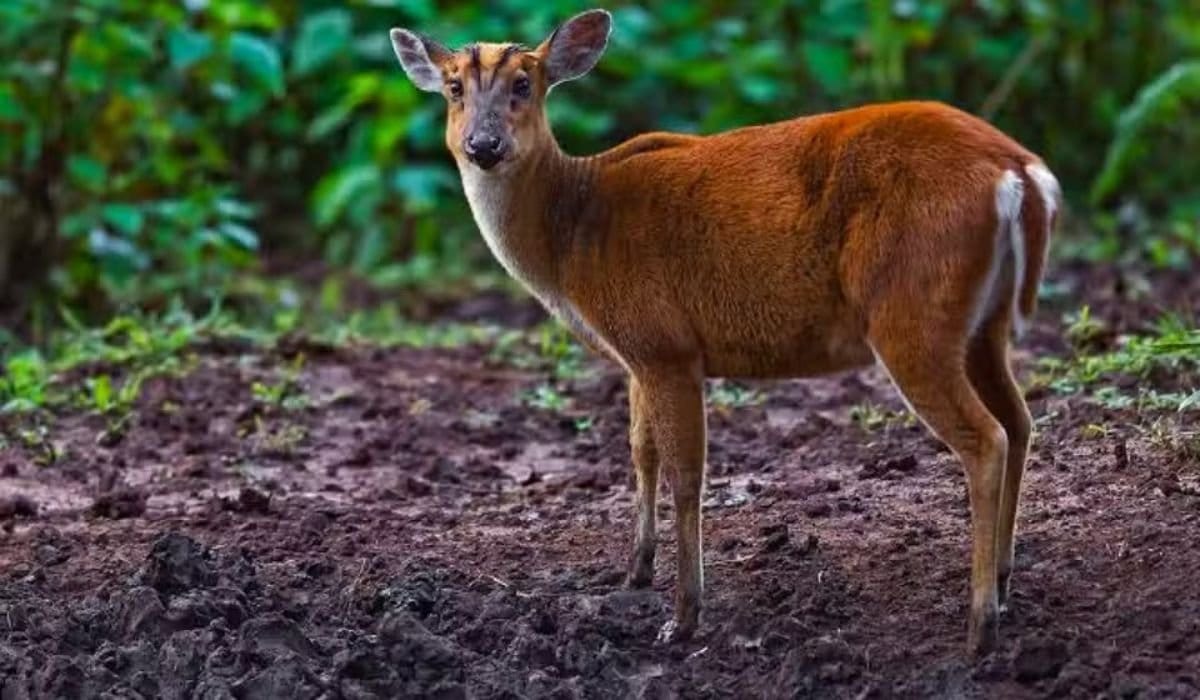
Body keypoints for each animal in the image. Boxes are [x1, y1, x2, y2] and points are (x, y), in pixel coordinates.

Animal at [388, 9, 1060, 656]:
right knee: (1020, 420)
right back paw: (1003, 583)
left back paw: (979, 627)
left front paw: (683, 618)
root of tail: (1021, 172)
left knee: (985, 438)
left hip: (910, 311)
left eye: (524, 83)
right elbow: (640, 451)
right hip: (981, 321)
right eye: (453, 87)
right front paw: (634, 572)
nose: (483, 144)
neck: (572, 235)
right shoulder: (639, 353)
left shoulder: (664, 343)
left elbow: (687, 475)